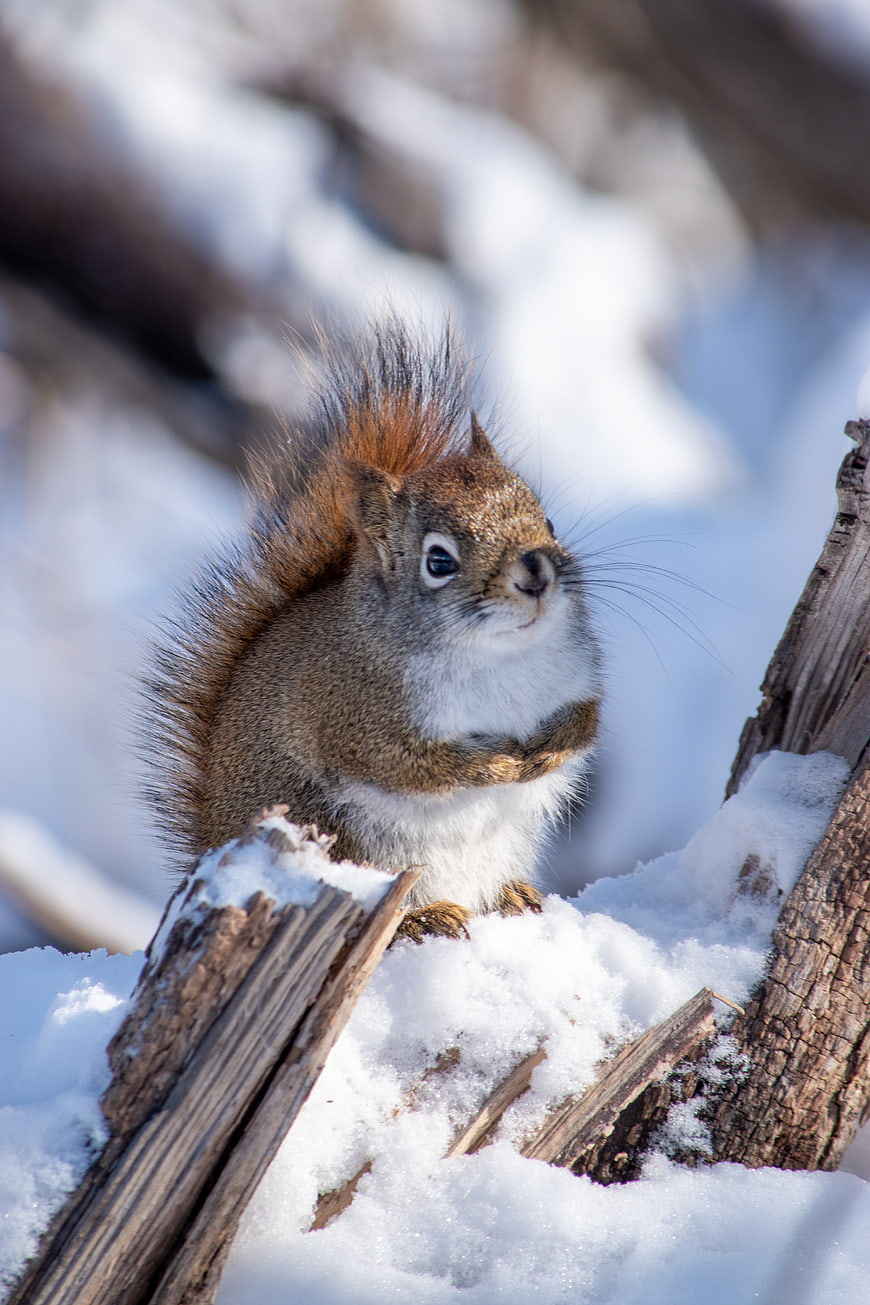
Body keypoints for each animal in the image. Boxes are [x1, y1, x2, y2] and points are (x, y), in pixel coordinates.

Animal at [146, 323, 602, 940]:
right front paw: (498, 765)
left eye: (548, 521)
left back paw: (512, 895)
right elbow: (410, 766)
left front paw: (550, 751)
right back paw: (424, 918)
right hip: (340, 839)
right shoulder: (351, 718)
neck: (501, 655)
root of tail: (213, 847)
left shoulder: (580, 674)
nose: (536, 571)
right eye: (439, 562)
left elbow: (587, 720)